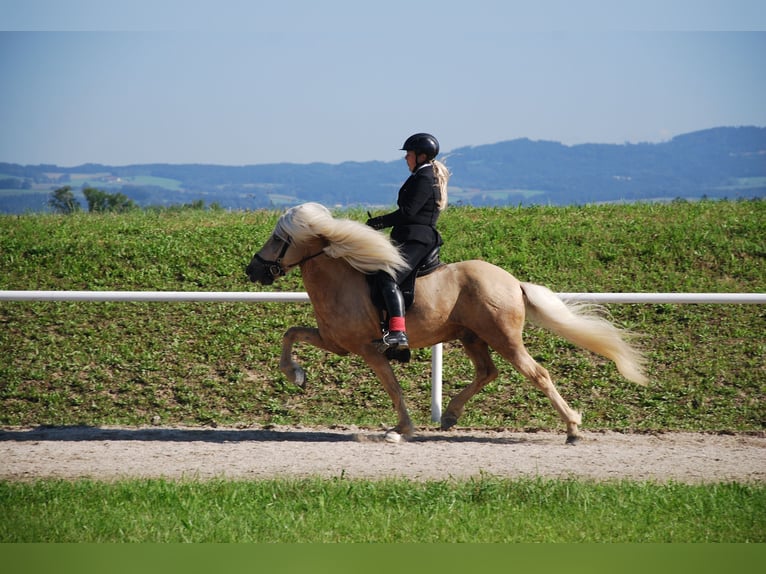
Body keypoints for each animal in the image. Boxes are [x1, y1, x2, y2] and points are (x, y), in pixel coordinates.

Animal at [248, 202, 648, 446]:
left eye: (279, 239)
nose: (252, 270)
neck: (342, 279)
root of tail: (512, 281)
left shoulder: (367, 350)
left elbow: (392, 387)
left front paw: (401, 430)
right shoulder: (336, 342)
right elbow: (290, 334)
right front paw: (297, 375)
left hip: (504, 338)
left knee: (537, 374)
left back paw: (572, 429)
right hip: (472, 337)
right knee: (487, 372)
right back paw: (452, 415)